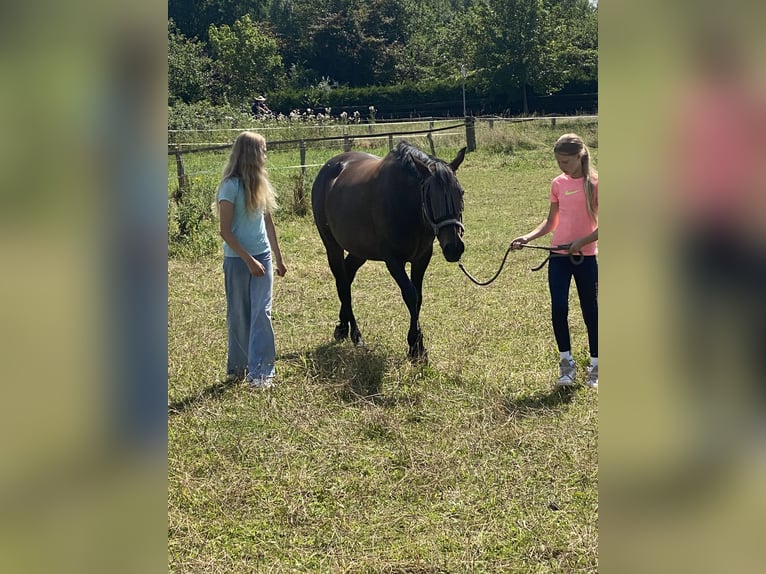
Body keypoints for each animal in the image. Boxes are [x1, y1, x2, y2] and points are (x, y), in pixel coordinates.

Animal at [312, 141, 468, 360]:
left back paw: (342, 328)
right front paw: (416, 347)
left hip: (359, 250)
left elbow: (418, 298)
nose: (454, 248)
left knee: (347, 276)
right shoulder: (393, 261)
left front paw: (417, 345)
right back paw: (356, 335)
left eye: (460, 192)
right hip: (332, 246)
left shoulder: (422, 258)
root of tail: (328, 168)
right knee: (342, 283)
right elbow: (410, 295)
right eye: (429, 197)